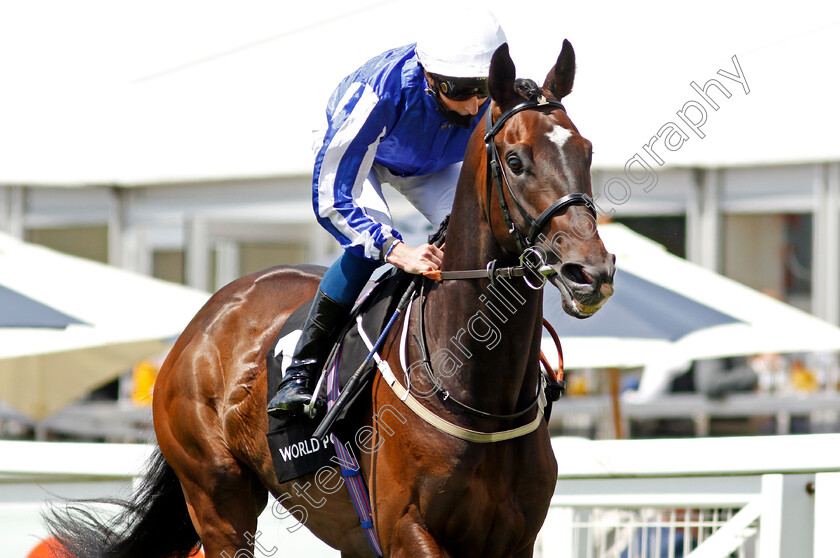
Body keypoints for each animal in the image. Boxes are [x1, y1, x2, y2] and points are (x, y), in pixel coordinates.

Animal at [54, 40, 616, 558]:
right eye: (516, 160)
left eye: (586, 151)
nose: (590, 272)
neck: (480, 396)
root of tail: (204, 320)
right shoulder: (407, 531)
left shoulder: (515, 538)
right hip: (218, 501)